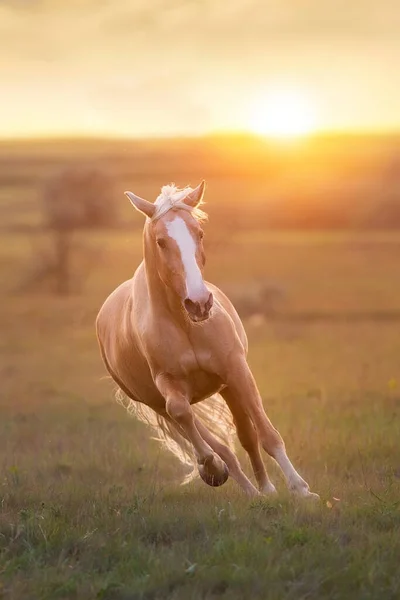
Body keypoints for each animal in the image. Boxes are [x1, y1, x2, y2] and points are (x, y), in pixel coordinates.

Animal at [97, 180, 318, 500]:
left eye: (199, 233)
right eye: (161, 242)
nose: (199, 303)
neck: (186, 324)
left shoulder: (236, 370)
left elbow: (267, 435)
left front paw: (301, 490)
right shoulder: (168, 385)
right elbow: (187, 419)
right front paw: (211, 468)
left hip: (227, 387)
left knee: (247, 437)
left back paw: (265, 490)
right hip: (157, 403)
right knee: (213, 441)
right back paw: (246, 489)